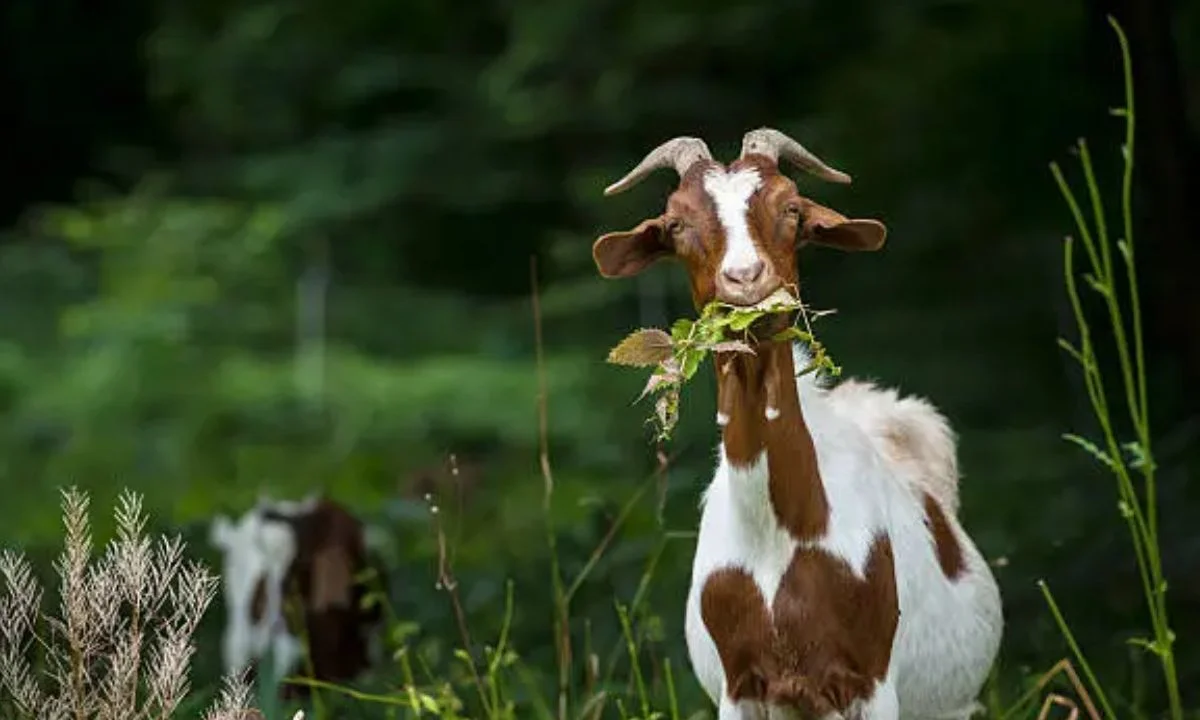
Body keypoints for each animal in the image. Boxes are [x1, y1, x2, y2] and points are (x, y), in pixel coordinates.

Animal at [592, 128, 1003, 719]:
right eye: (676, 223)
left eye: (791, 207)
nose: (745, 279)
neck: (782, 534)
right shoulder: (740, 685)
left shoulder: (872, 680)